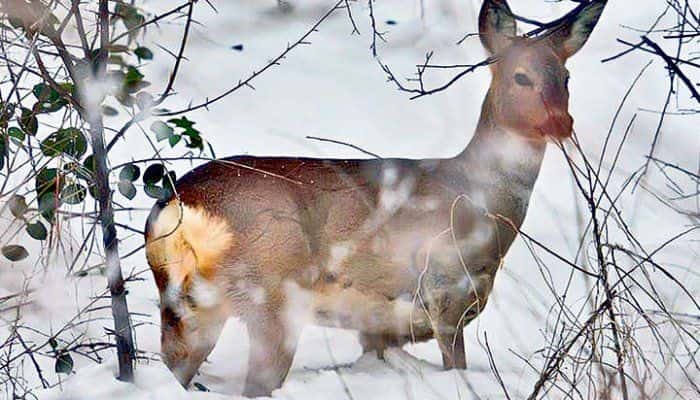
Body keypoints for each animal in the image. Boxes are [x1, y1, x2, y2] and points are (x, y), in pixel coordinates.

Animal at [144, 0, 608, 396]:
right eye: (520, 76)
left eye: (566, 77)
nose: (561, 123)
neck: (476, 195)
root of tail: (184, 201)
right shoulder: (445, 291)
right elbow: (455, 365)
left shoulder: (379, 327)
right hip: (271, 293)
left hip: (188, 304)